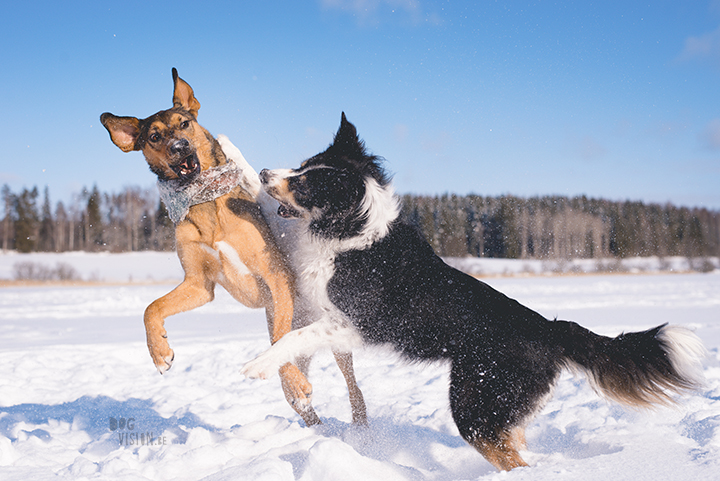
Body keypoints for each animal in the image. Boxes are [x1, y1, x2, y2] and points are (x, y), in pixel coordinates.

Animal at [101, 67, 366, 424]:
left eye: (184, 124)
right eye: (154, 137)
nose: (180, 147)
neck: (205, 203)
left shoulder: (275, 275)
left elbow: (278, 339)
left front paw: (295, 383)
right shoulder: (200, 284)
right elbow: (151, 308)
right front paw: (159, 352)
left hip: (332, 335)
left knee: (353, 387)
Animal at [245, 112, 704, 468]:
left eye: (304, 184)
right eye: (301, 165)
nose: (264, 172)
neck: (353, 233)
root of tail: (549, 329)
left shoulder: (358, 323)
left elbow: (296, 336)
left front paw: (259, 365)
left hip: (473, 405)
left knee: (512, 461)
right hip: (496, 409)